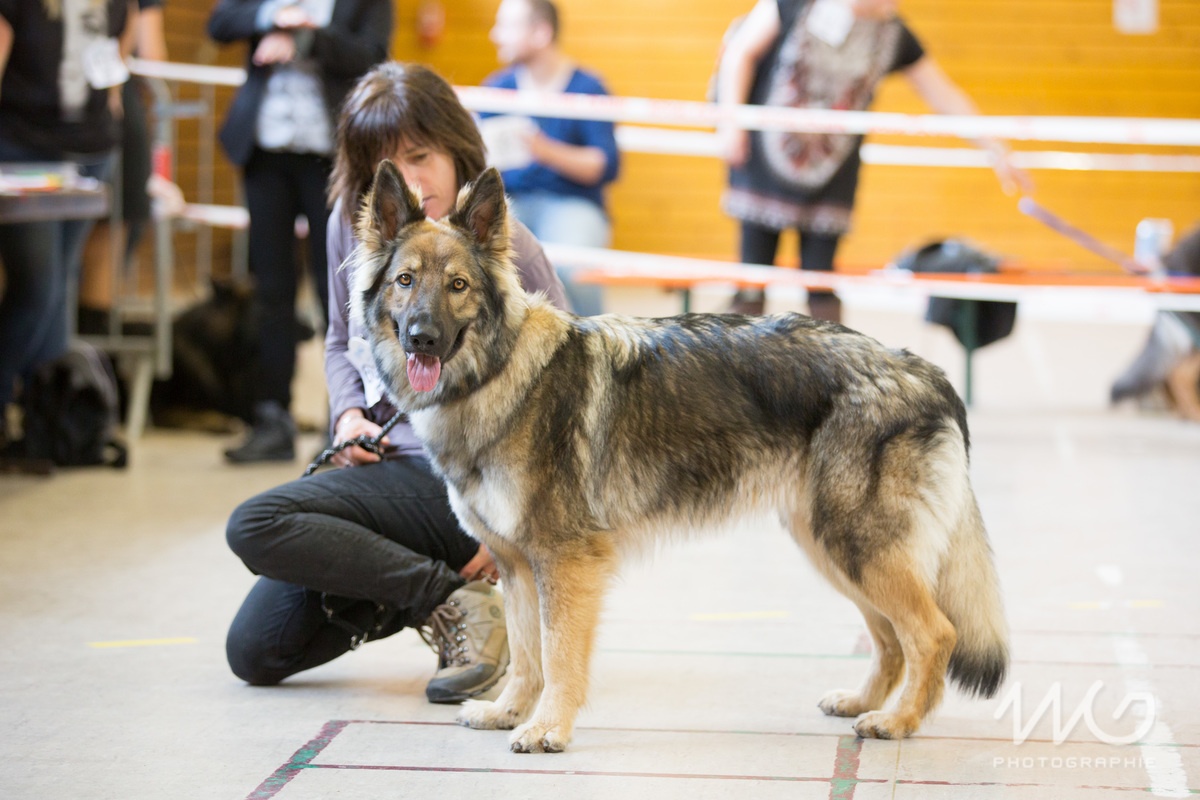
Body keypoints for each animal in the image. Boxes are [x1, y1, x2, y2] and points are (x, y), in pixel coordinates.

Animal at [350, 164, 1008, 758]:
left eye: (458, 285)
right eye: (405, 281)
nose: (421, 338)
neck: (498, 372)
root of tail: (921, 370)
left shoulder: (563, 562)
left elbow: (558, 655)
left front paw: (547, 728)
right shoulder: (514, 566)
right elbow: (527, 656)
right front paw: (509, 713)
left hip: (858, 547)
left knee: (934, 634)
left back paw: (899, 722)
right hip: (831, 548)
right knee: (891, 638)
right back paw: (865, 703)